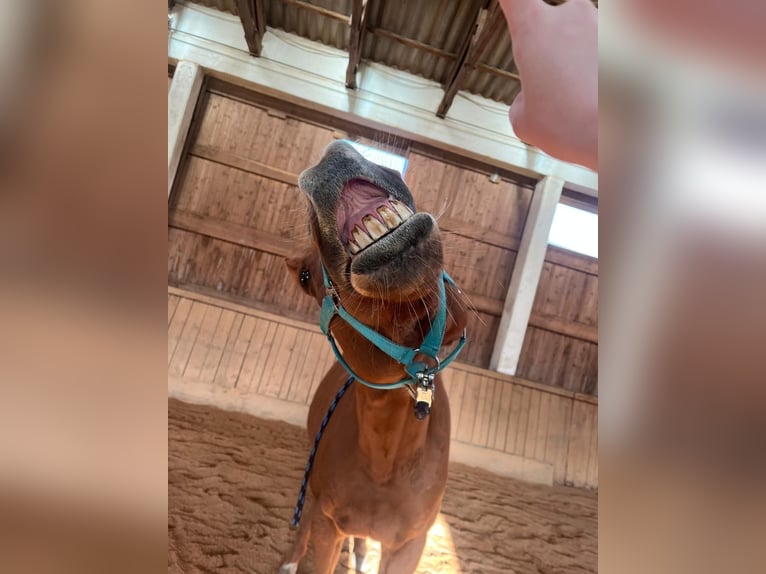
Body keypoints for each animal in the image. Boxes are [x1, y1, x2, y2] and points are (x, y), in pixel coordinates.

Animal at [280, 140, 468, 574]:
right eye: (305, 279)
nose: (332, 157)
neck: (385, 463)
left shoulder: (410, 546)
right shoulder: (328, 524)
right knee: (305, 520)